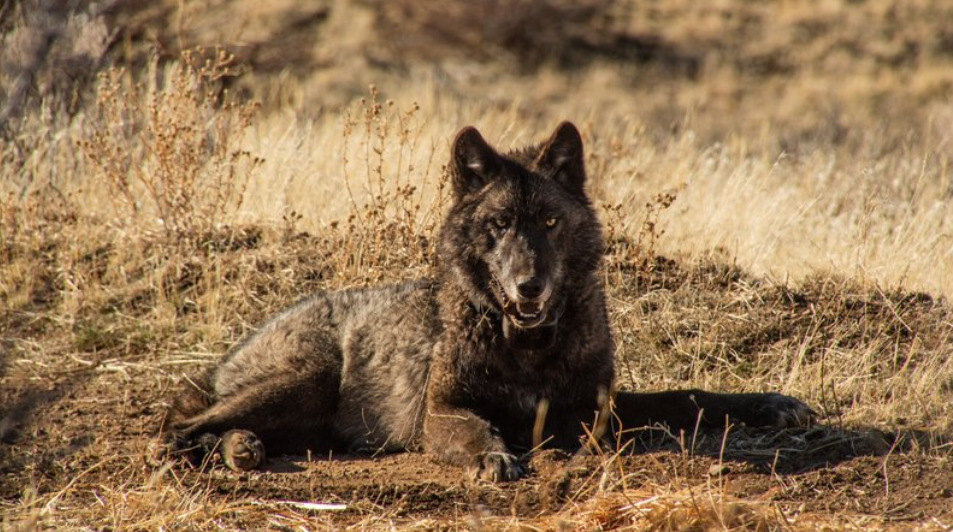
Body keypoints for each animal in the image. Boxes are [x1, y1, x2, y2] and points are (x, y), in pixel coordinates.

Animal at [154, 122, 812, 480]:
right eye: (498, 225)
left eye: (548, 222)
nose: (529, 287)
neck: (527, 347)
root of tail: (232, 353)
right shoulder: (441, 411)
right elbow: (477, 428)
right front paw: (494, 458)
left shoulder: (595, 406)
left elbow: (690, 399)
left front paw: (771, 405)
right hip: (306, 379)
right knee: (176, 425)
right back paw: (212, 450)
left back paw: (242, 449)